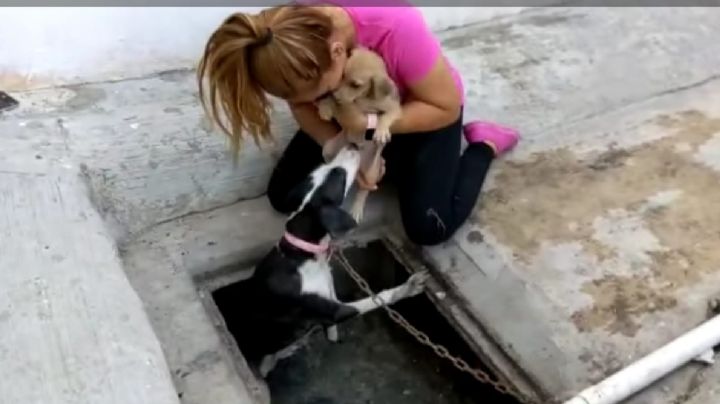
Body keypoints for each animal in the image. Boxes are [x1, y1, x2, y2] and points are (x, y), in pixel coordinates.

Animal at [214, 144, 428, 378]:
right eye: (339, 176)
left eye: (322, 169)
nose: (353, 145)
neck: (301, 255)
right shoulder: (336, 310)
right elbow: (377, 299)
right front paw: (408, 288)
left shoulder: (330, 294)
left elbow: (332, 331)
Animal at [318, 48, 402, 224]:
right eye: (342, 75)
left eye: (355, 85)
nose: (336, 95)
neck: (364, 98)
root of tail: (359, 166)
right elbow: (331, 102)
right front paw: (325, 107)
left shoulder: (395, 108)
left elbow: (386, 116)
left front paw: (381, 132)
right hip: (329, 149)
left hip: (372, 173)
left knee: (363, 191)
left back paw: (356, 209)